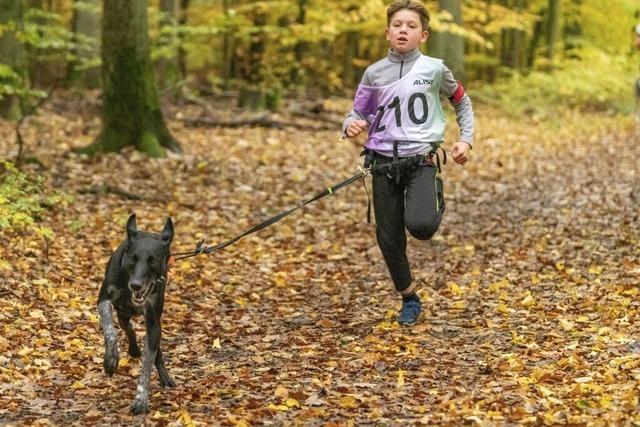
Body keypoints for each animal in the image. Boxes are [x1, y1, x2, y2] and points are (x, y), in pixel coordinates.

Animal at [96, 214, 175, 414]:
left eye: (152, 260)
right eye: (133, 258)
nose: (136, 285)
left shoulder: (153, 322)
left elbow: (148, 362)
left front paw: (140, 399)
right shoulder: (103, 301)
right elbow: (110, 333)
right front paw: (111, 361)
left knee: (155, 351)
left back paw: (165, 377)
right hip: (122, 314)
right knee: (128, 328)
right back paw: (132, 349)